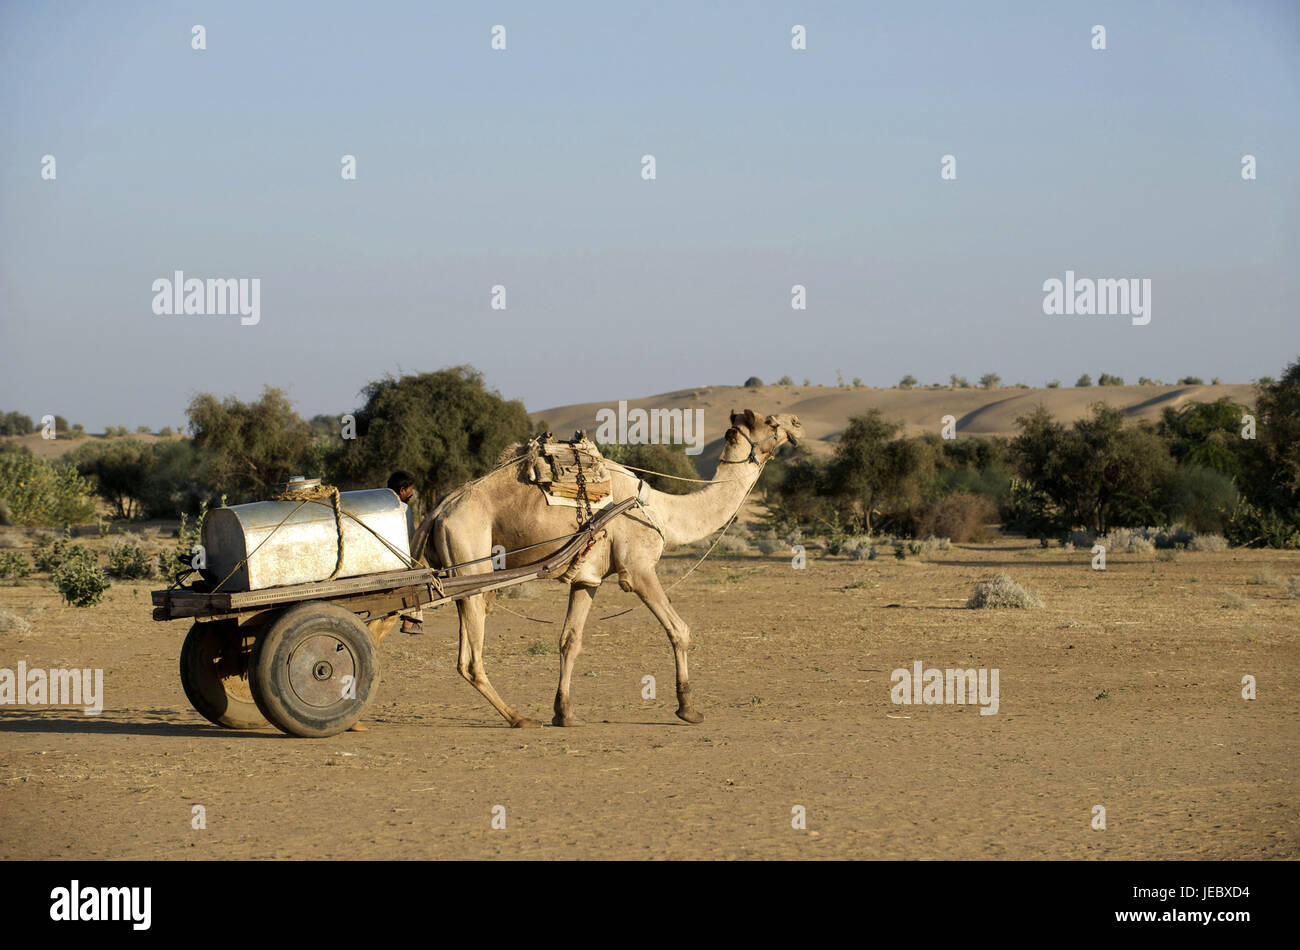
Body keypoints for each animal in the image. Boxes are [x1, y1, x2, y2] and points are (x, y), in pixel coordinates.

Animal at [421, 408, 795, 727]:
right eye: (771, 423)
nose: (796, 424)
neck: (658, 511)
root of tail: (437, 511)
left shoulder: (587, 579)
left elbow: (569, 640)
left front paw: (565, 713)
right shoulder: (639, 569)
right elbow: (679, 630)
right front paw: (688, 708)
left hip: (462, 577)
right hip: (471, 565)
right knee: (471, 660)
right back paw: (519, 718)